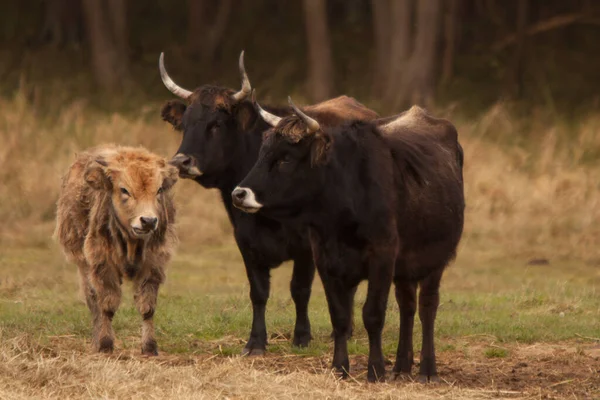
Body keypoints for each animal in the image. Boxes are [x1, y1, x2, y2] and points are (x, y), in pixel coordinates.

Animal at [55, 145, 178, 354]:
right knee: (92, 300)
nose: (148, 221)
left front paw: (150, 347)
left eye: (159, 189)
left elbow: (147, 307)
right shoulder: (102, 264)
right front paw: (105, 344)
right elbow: (107, 305)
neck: (131, 243)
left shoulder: (153, 264)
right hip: (83, 265)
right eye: (124, 190)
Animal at [157, 51, 378, 354]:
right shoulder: (245, 241)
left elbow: (299, 289)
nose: (181, 162)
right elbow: (259, 292)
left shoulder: (306, 245)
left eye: (216, 125)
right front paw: (256, 342)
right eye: (186, 125)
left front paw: (301, 336)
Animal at [233, 99, 464, 382]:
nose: (239, 194)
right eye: (262, 153)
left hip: (434, 260)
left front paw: (375, 370)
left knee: (427, 308)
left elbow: (373, 315)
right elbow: (340, 317)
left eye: (285, 158)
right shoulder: (324, 259)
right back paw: (401, 366)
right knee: (407, 307)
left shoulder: (382, 256)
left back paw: (427, 369)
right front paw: (339, 367)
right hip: (405, 269)